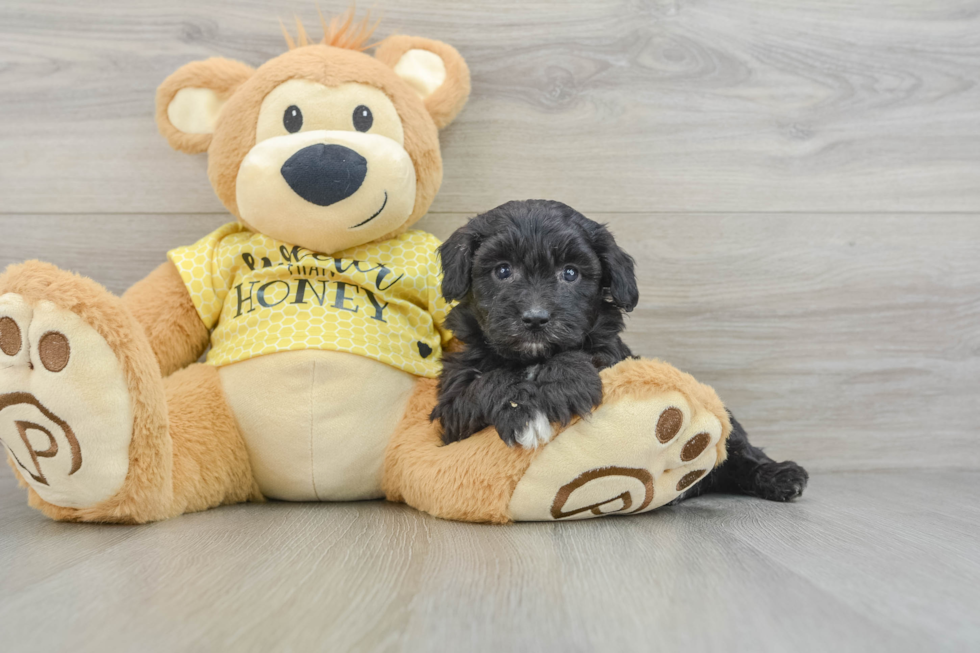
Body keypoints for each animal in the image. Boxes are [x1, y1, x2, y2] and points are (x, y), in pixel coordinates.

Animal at [432, 201, 808, 502]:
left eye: (570, 273)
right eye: (502, 270)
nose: (536, 318)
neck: (533, 357)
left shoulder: (615, 359)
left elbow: (585, 357)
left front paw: (561, 385)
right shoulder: (452, 410)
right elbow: (485, 384)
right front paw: (522, 411)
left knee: (739, 449)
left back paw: (779, 476)